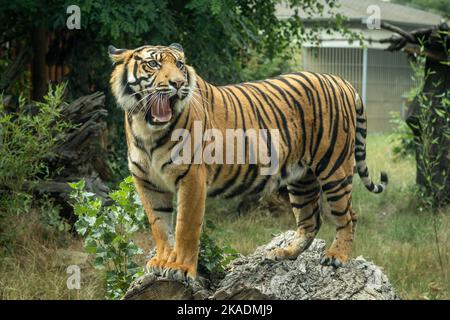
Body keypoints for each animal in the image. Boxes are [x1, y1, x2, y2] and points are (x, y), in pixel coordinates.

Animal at [108, 43, 386, 282]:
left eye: (179, 65)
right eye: (153, 64)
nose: (178, 83)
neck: (146, 129)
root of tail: (342, 81)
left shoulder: (192, 178)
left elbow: (185, 227)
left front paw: (180, 268)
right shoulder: (147, 182)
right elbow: (159, 226)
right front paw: (162, 261)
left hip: (334, 167)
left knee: (348, 216)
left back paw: (337, 256)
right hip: (301, 178)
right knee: (310, 220)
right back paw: (285, 253)